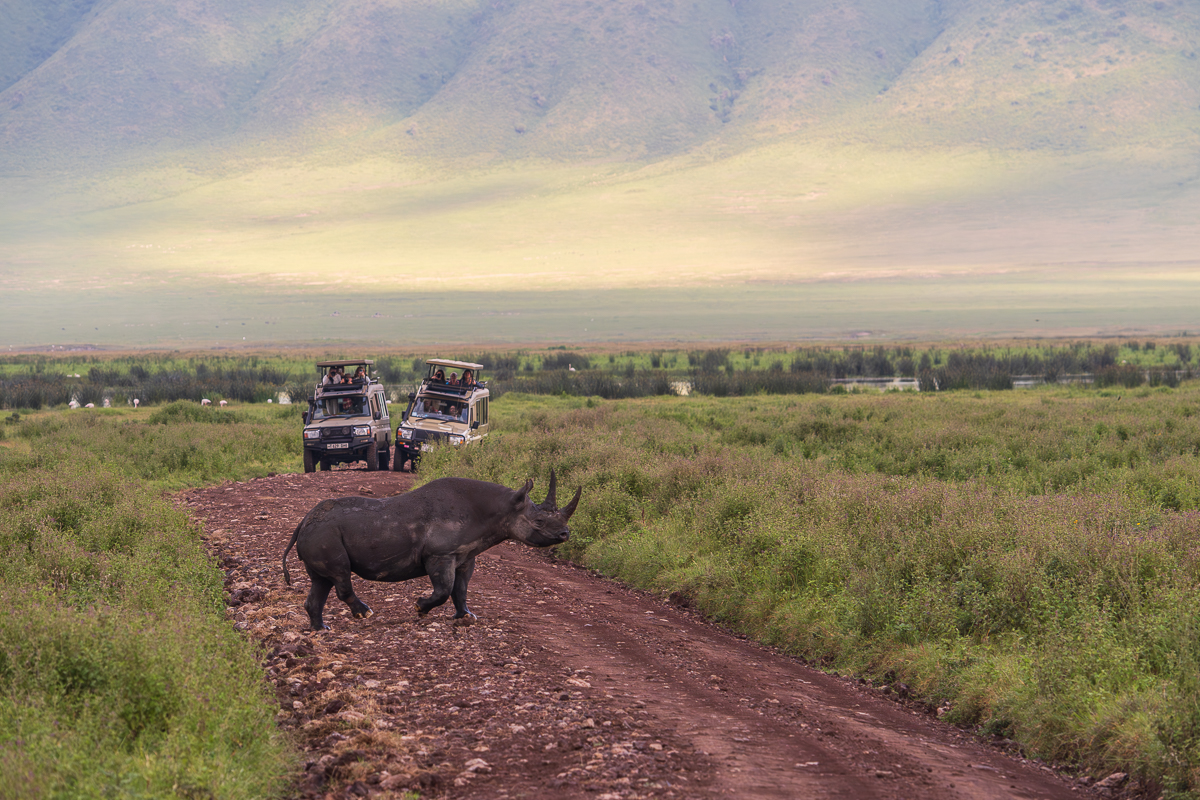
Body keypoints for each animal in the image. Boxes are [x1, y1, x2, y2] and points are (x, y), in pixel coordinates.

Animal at [282, 472, 581, 630]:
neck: (502, 508)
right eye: (539, 522)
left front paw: (466, 617)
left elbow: (461, 589)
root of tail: (303, 521)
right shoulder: (440, 555)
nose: (564, 535)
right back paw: (365, 614)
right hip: (325, 534)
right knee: (340, 575)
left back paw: (322, 629)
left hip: (320, 533)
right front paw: (420, 608)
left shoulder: (465, 556)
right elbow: (444, 589)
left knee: (322, 581)